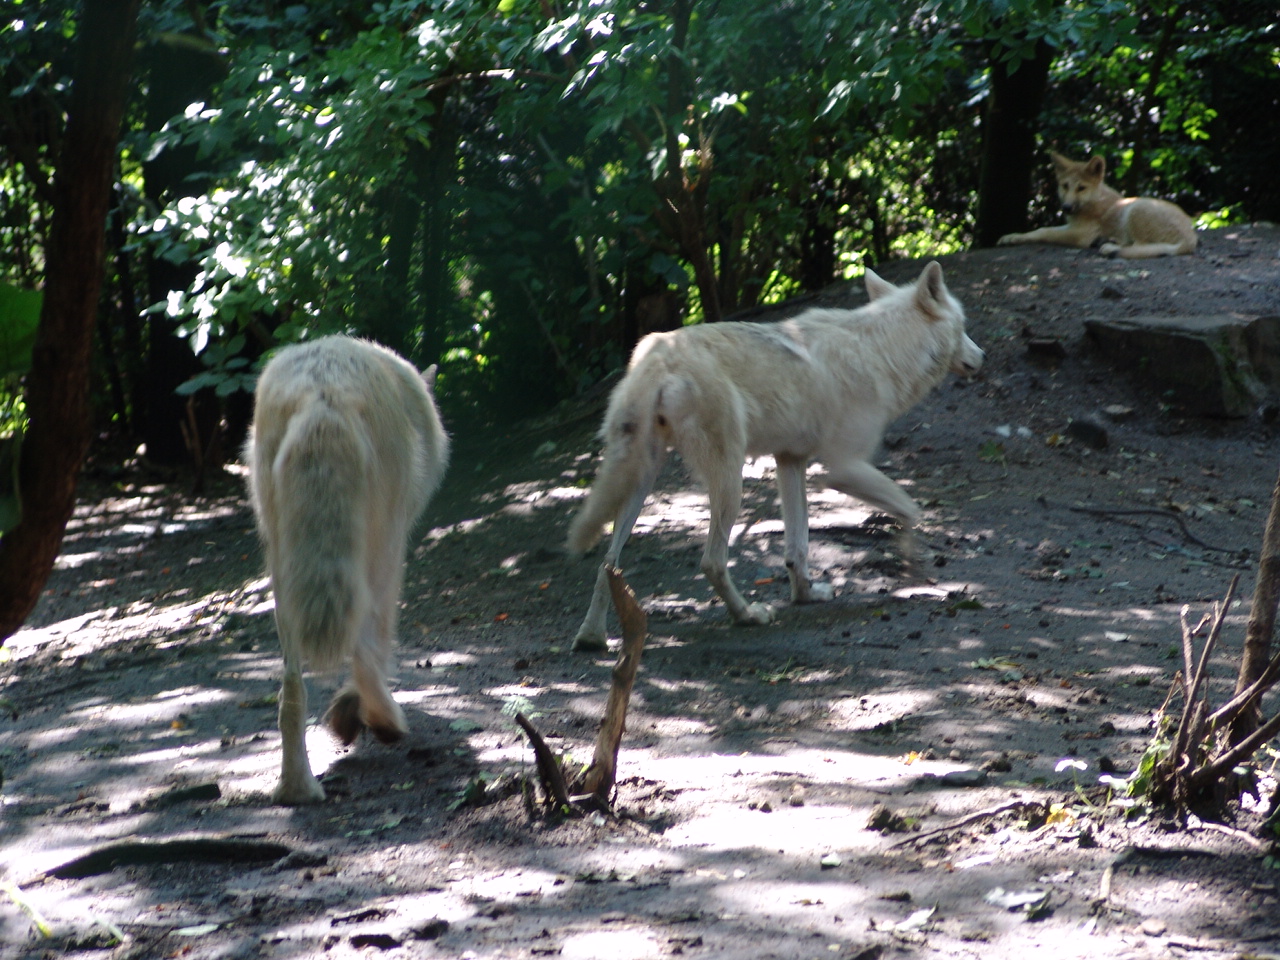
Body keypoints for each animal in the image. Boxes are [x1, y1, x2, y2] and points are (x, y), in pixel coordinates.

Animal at [247, 336, 449, 805]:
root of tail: (321, 397)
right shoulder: (397, 542)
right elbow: (377, 640)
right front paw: (358, 714)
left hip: (282, 568)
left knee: (291, 688)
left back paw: (296, 790)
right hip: (381, 548)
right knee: (366, 638)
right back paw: (383, 720)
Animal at [567, 261, 983, 650]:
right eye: (964, 326)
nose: (982, 354)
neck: (882, 352)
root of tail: (657, 358)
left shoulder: (790, 460)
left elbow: (797, 547)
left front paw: (806, 595)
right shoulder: (843, 468)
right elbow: (911, 509)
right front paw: (915, 566)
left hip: (640, 479)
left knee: (609, 562)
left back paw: (591, 636)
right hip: (730, 481)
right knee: (711, 561)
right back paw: (747, 615)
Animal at [997, 151, 1197, 259]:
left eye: (1081, 188)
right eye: (1065, 186)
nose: (1066, 208)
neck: (1092, 201)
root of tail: (1190, 239)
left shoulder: (1080, 235)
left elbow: (1045, 232)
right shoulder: (1071, 226)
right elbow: (1039, 230)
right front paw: (1012, 237)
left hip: (1136, 208)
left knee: (1140, 246)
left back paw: (1111, 247)